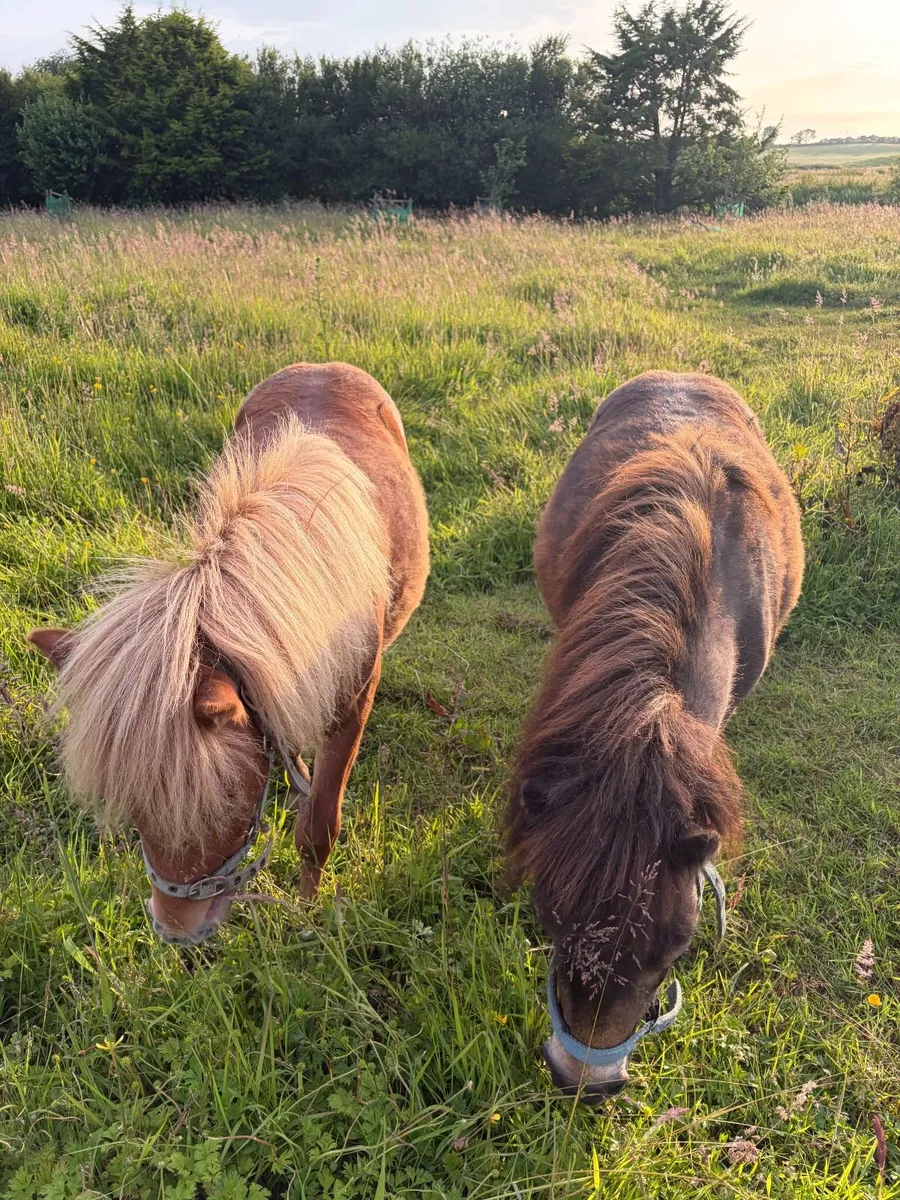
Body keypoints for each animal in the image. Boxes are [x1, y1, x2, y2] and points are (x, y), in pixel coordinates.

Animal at [29, 363, 429, 946]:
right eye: (137, 814)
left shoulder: (352, 705)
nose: (176, 931)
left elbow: (318, 829)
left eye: (230, 803)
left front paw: (306, 916)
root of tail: (322, 366)